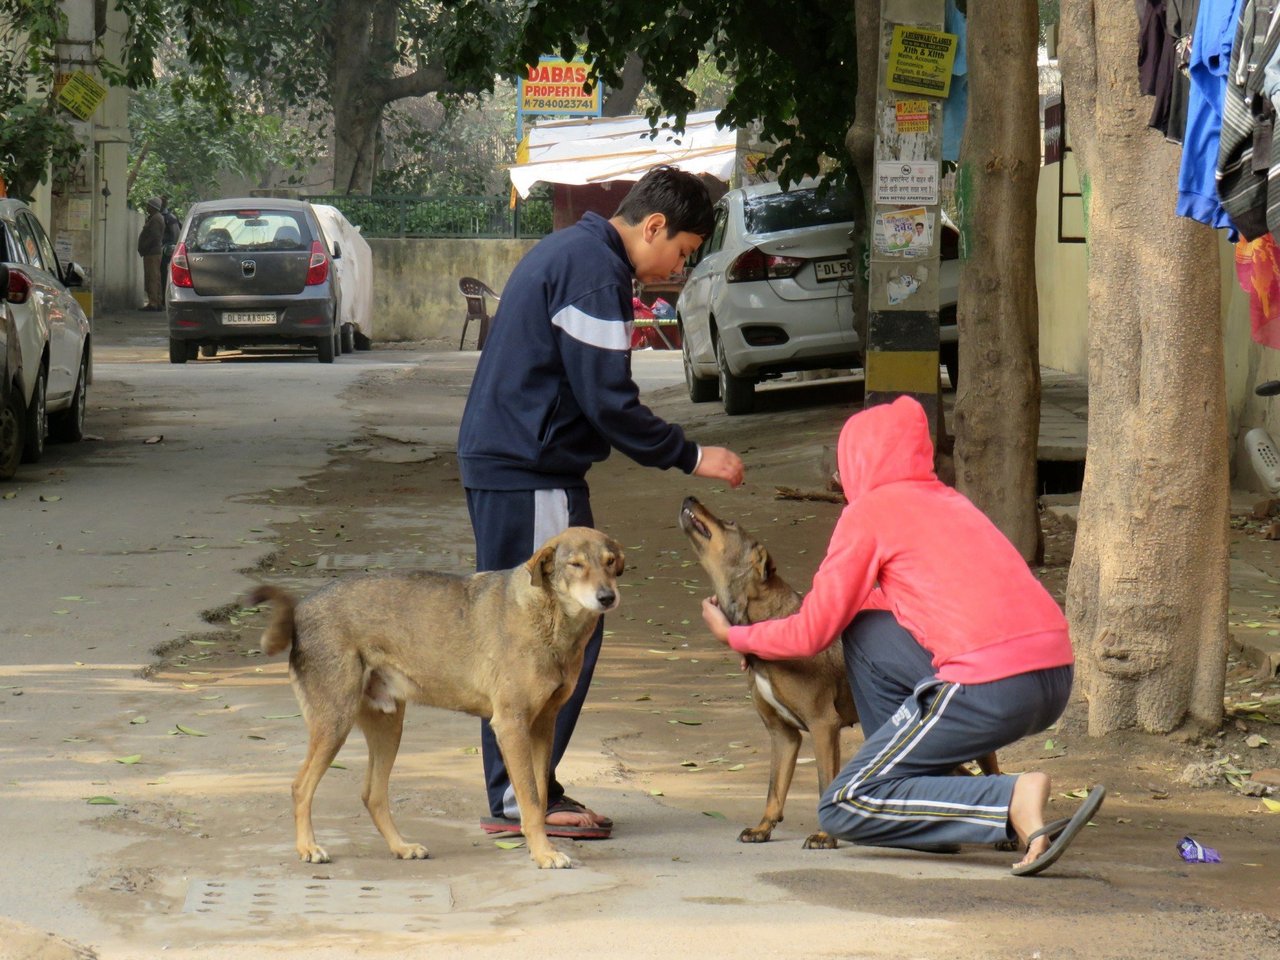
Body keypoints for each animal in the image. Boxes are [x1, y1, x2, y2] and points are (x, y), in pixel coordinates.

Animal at [245, 527, 624, 870]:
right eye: (575, 564)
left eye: (609, 562)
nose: (608, 598)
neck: (550, 617)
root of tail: (300, 610)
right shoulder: (511, 725)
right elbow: (529, 801)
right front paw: (543, 853)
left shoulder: (544, 725)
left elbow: (541, 796)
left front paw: (542, 845)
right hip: (335, 723)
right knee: (300, 787)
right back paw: (308, 847)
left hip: (388, 727)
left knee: (372, 794)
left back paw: (401, 847)